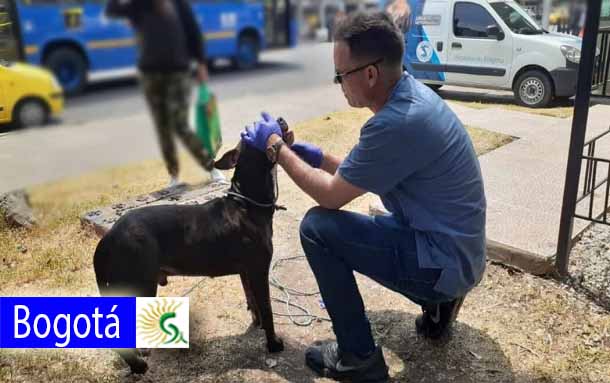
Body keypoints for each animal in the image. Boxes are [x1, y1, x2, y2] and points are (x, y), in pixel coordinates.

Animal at [93, 142, 284, 376]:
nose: (283, 129)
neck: (245, 204)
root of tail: (107, 239)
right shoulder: (259, 269)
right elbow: (267, 308)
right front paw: (273, 343)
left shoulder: (246, 271)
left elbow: (253, 302)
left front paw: (257, 325)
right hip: (139, 287)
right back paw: (138, 366)